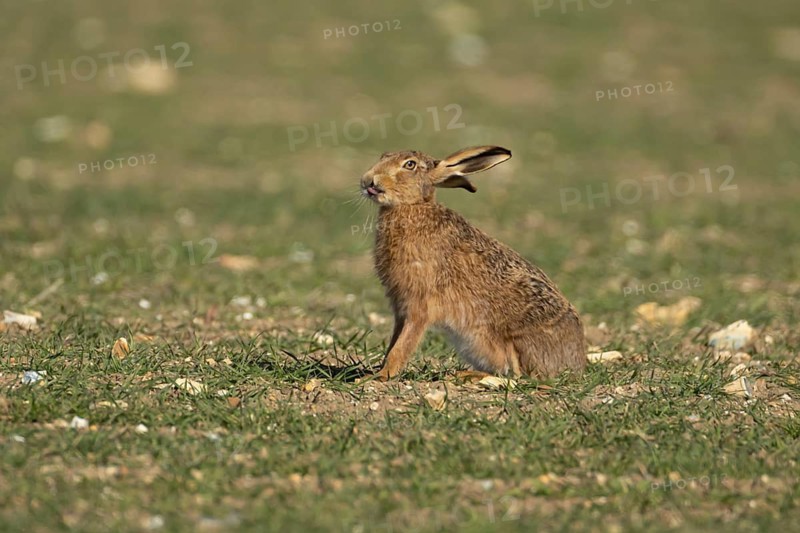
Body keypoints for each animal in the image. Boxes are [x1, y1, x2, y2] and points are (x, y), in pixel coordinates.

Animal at [359, 145, 586, 381]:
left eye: (409, 164)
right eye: (384, 156)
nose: (368, 180)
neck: (413, 206)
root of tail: (574, 364)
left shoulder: (419, 305)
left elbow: (402, 345)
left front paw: (379, 376)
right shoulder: (400, 307)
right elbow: (395, 341)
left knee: (512, 373)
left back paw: (461, 375)